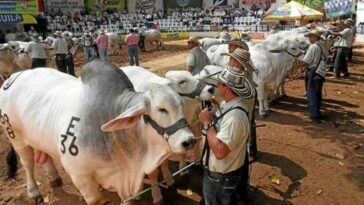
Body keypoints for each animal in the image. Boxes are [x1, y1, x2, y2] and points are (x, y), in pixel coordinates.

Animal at [1, 60, 195, 205]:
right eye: (162, 109)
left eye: (182, 105)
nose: (189, 140)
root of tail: (14, 76)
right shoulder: (81, 177)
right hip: (16, 137)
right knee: (27, 163)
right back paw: (34, 192)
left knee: (45, 155)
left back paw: (54, 178)